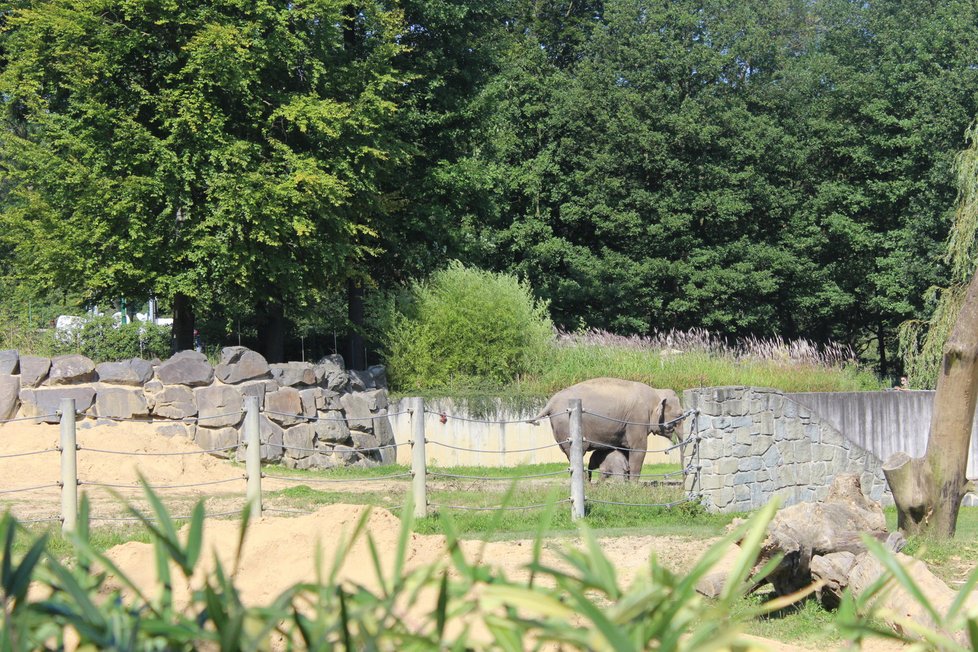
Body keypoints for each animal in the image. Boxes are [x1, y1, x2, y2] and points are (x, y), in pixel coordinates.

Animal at [528, 376, 684, 478]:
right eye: (679, 415)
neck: (656, 392)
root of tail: (550, 403)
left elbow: (626, 449)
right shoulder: (637, 419)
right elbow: (638, 449)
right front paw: (634, 487)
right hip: (566, 424)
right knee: (577, 453)